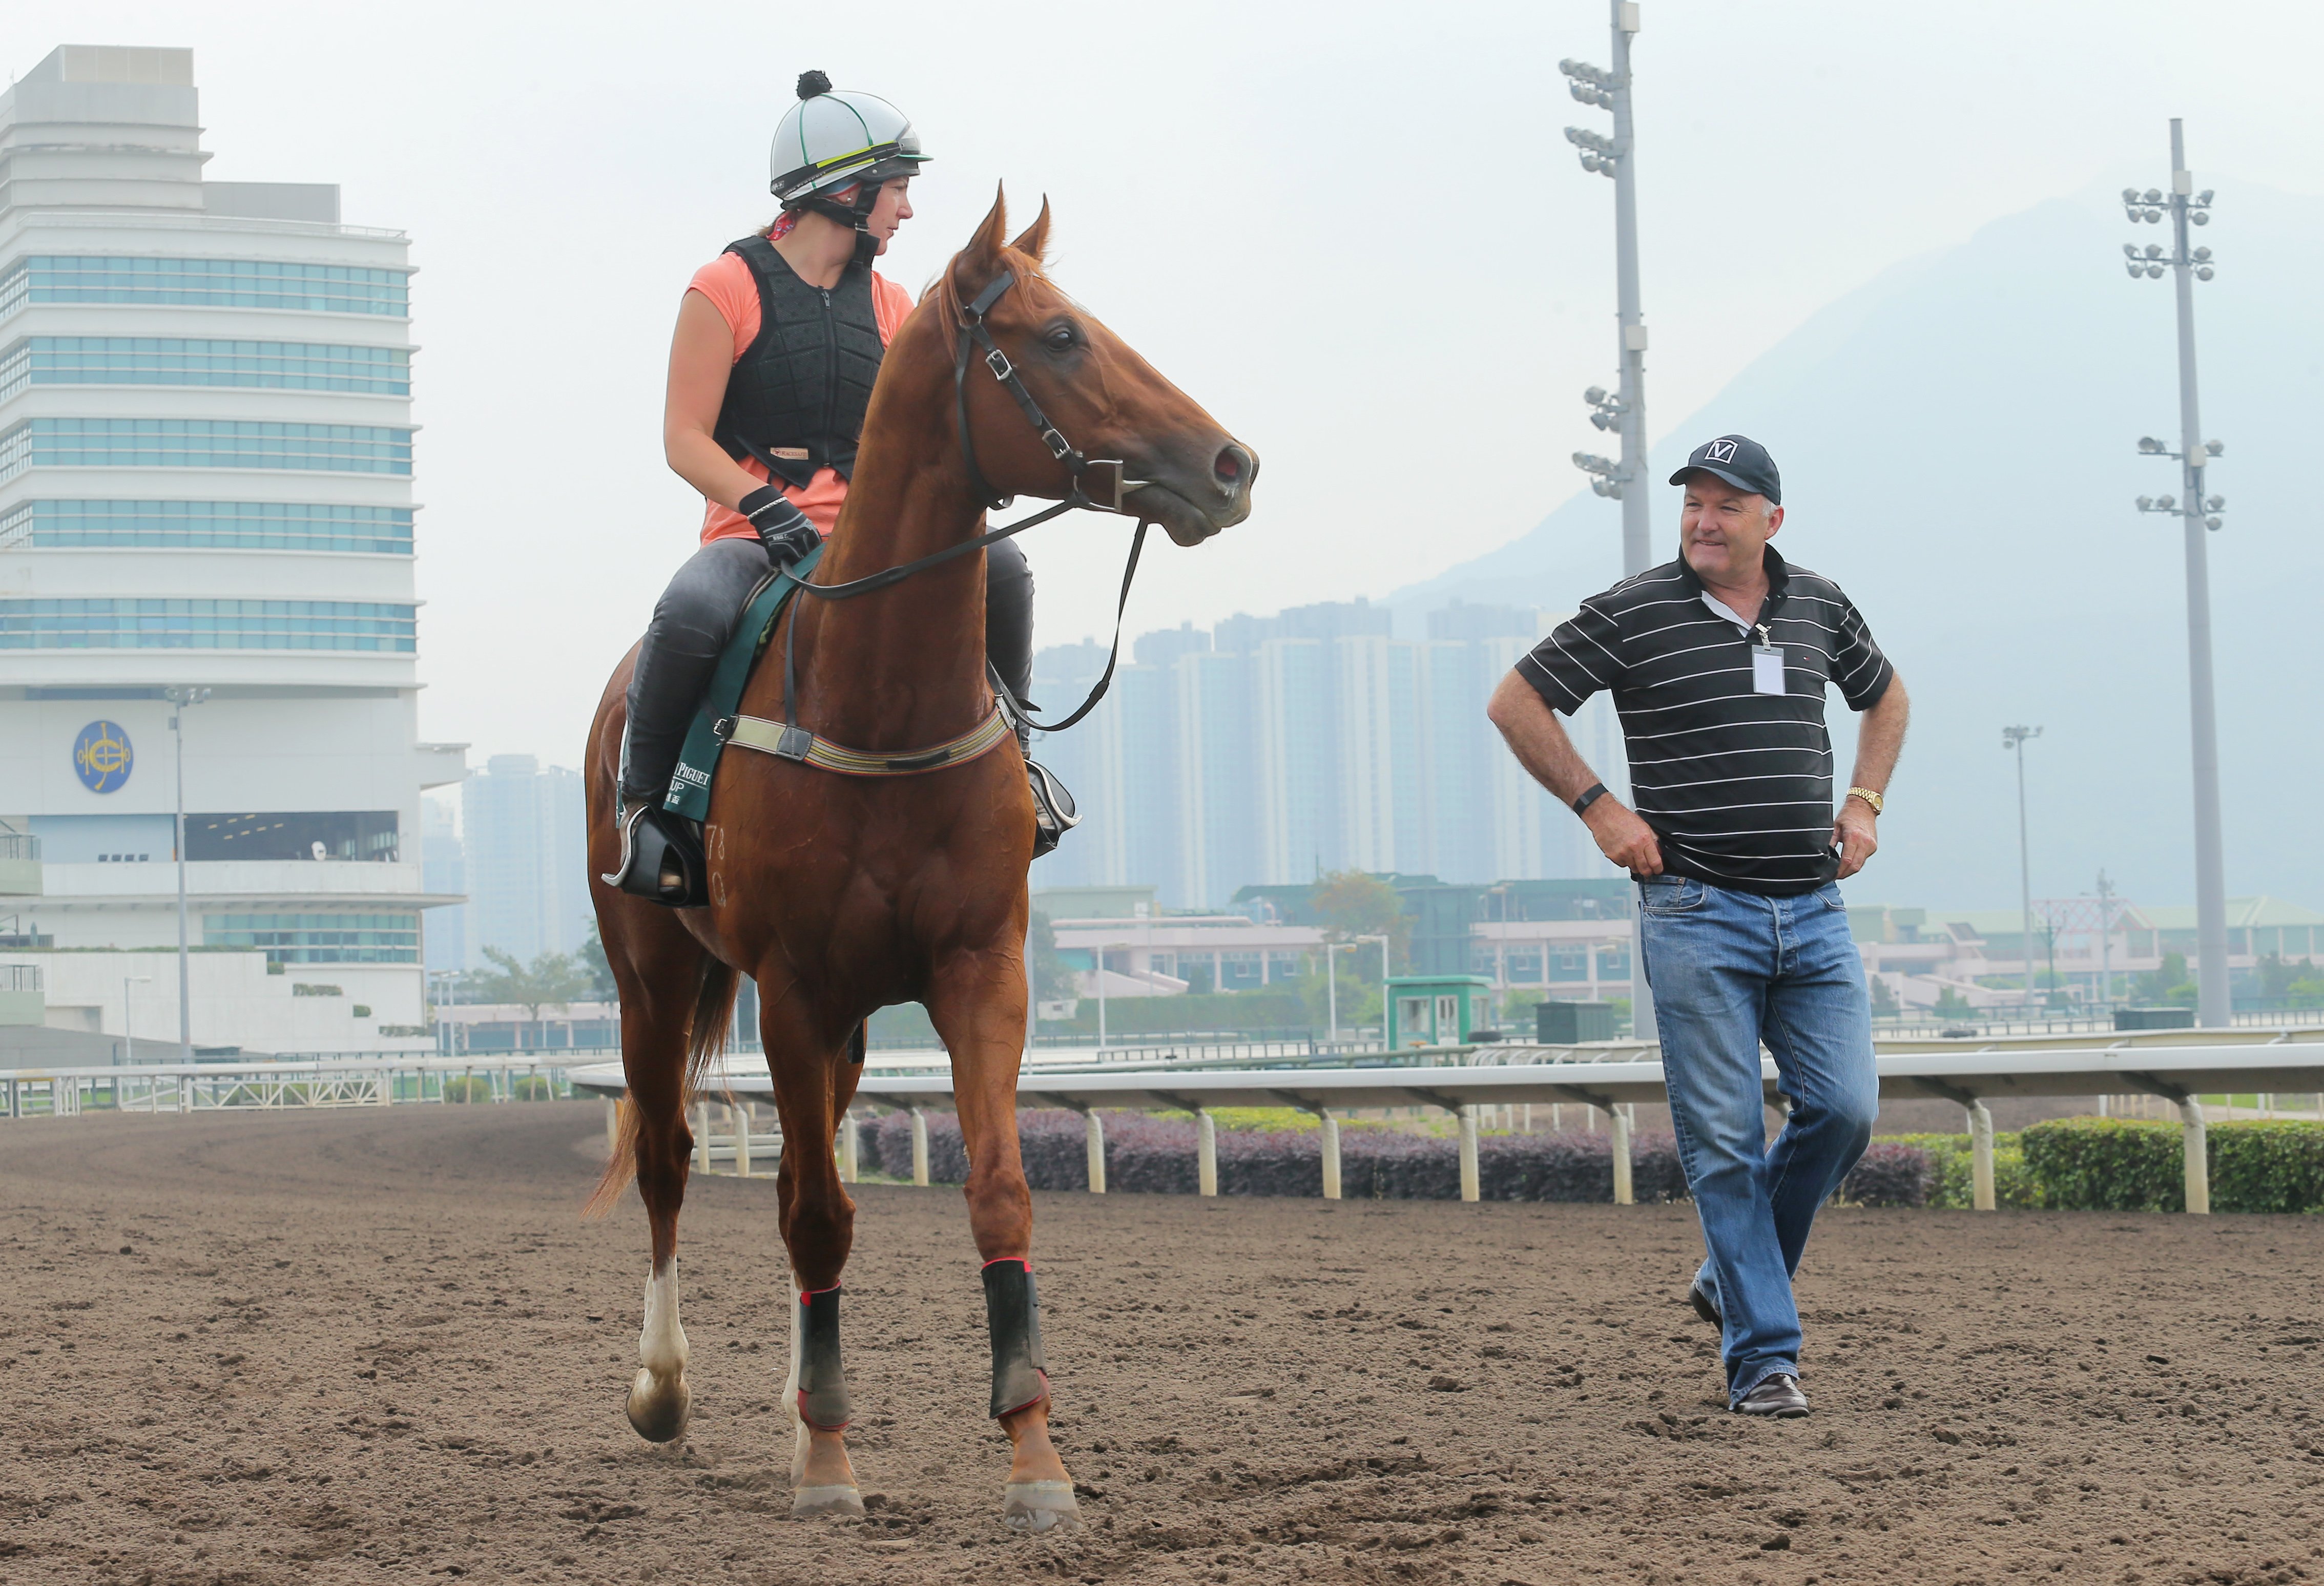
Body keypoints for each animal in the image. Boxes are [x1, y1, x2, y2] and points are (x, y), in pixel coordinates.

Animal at [590, 193, 1264, 1532]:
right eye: (1058, 336)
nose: (1231, 464)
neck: (880, 701)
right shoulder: (794, 989)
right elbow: (813, 1213)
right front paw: (830, 1467)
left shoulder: (977, 967)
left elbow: (989, 1192)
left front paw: (1035, 1458)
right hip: (654, 976)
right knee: (674, 1158)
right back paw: (668, 1389)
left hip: (848, 1022)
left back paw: (804, 1394)